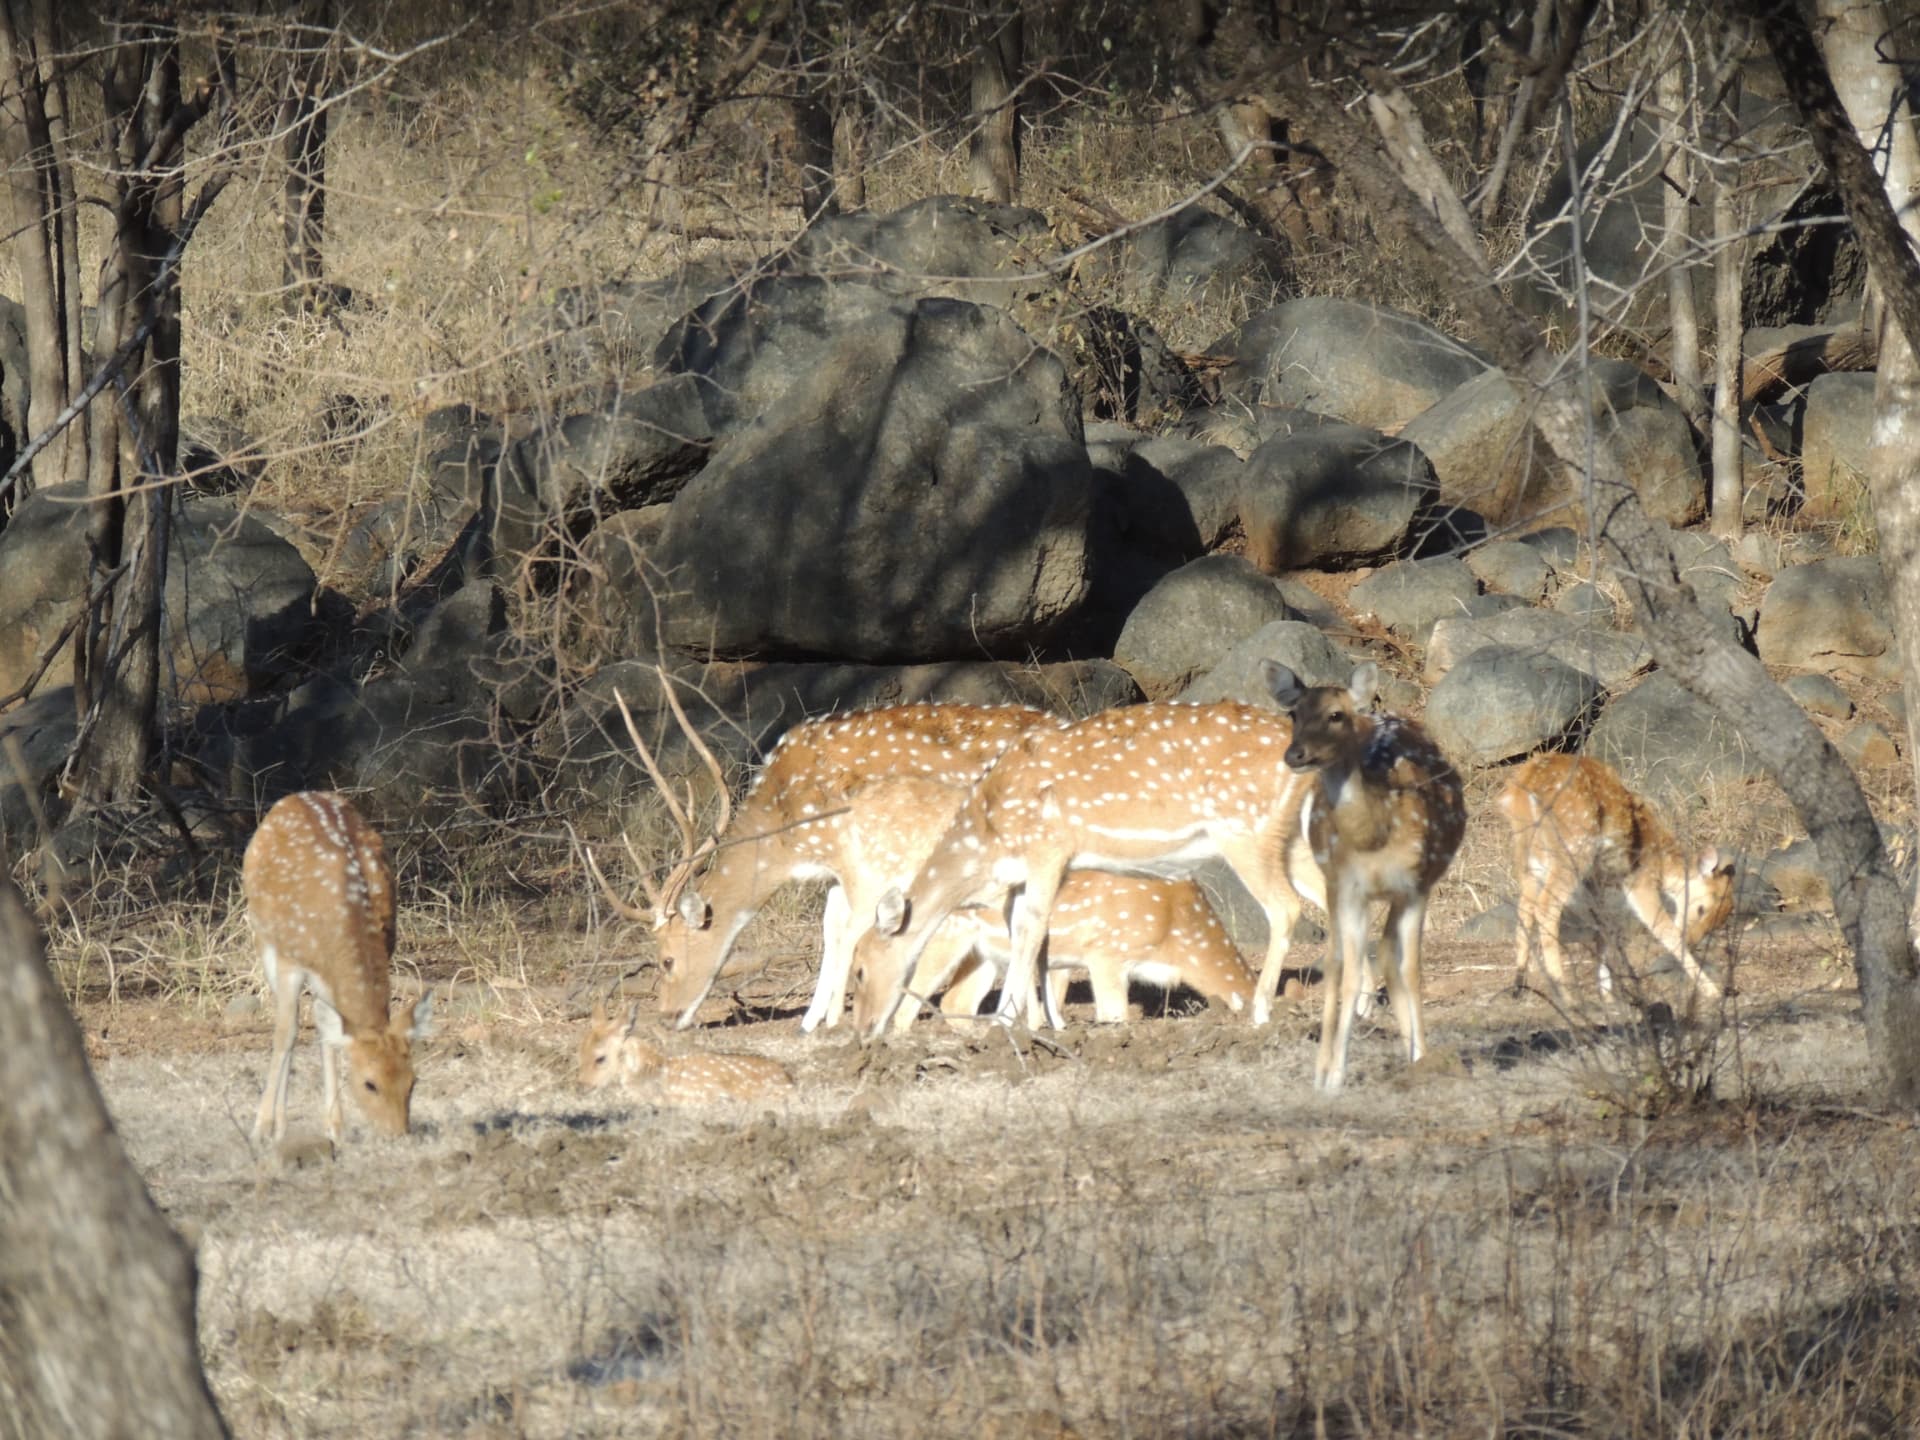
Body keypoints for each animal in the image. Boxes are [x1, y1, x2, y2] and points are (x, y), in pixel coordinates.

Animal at [244, 791, 434, 1143]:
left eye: (413, 1081)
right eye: (369, 1084)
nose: (398, 1134)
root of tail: (295, 797)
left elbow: (328, 1034)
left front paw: (335, 1127)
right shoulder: (290, 959)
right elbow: (285, 1033)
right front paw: (262, 1128)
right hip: (263, 936)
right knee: (286, 1024)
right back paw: (278, 1124)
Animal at [586, 680, 1061, 1031]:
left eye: (665, 959)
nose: (667, 1018)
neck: (785, 834)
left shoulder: (852, 856)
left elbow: (849, 930)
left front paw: (831, 1020)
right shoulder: (835, 871)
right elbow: (831, 929)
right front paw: (815, 1018)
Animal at [846, 696, 1327, 1042]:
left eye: (861, 968)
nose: (863, 1031)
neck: (989, 837)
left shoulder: (1048, 849)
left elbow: (1031, 930)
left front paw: (1007, 1022)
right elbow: (1031, 938)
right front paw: (1041, 1024)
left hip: (1245, 828)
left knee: (1284, 906)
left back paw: (1262, 1011)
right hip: (1294, 838)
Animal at [1264, 661, 1466, 1093]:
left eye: (1336, 715)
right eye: (1294, 714)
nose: (1295, 753)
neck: (1375, 836)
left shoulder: (1415, 886)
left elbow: (1411, 969)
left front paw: (1422, 1057)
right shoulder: (1350, 888)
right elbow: (1350, 973)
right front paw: (1333, 1076)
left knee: (1388, 953)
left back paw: (1412, 1050)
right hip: (1331, 885)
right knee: (1339, 962)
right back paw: (1323, 1068)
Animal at [1497, 753, 1735, 1003]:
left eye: (1717, 924)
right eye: (1701, 908)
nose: (1691, 938)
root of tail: (1523, 788)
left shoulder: (1596, 880)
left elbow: (1603, 925)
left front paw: (1608, 995)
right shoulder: (1638, 880)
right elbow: (1663, 930)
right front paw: (1713, 991)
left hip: (1529, 855)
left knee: (1525, 908)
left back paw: (1518, 986)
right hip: (1572, 849)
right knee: (1545, 907)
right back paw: (1567, 996)